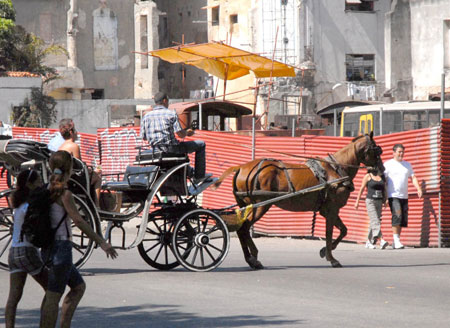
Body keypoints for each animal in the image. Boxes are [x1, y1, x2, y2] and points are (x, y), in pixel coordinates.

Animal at [211, 133, 384, 270]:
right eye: (376, 150)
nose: (381, 170)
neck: (336, 170)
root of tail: (241, 167)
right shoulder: (332, 209)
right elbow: (329, 233)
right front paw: (331, 258)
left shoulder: (326, 210)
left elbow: (343, 230)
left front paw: (325, 251)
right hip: (261, 205)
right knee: (244, 228)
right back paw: (253, 258)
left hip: (247, 205)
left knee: (242, 229)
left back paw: (251, 259)